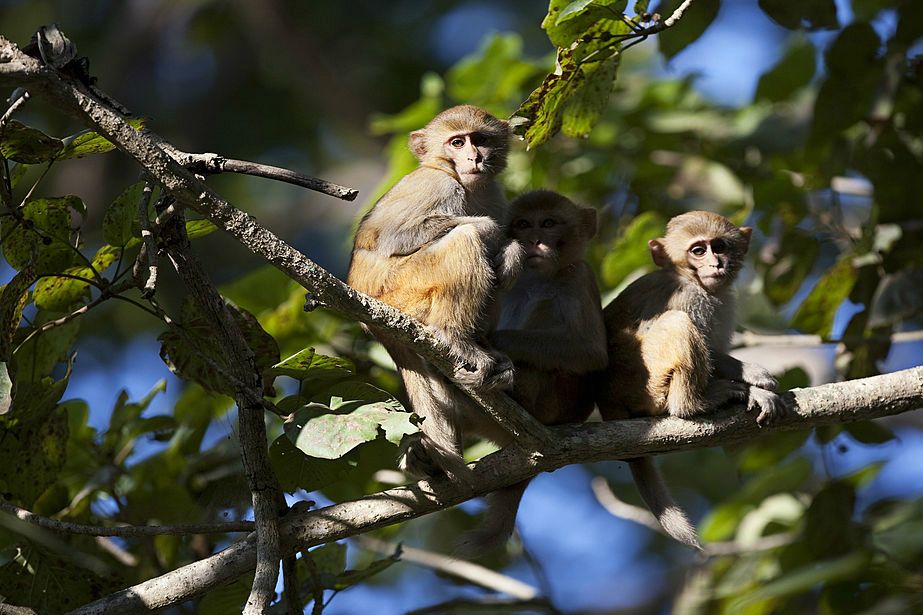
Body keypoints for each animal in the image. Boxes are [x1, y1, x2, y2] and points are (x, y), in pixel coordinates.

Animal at [347, 105, 524, 483]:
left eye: (480, 139)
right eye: (457, 142)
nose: (475, 157)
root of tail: (371, 324)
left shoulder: (496, 196)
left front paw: (512, 250)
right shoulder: (437, 185)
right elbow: (392, 236)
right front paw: (487, 228)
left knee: (501, 272)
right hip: (403, 292)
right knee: (465, 240)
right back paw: (455, 337)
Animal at [457, 190, 608, 556]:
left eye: (549, 223)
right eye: (523, 224)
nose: (534, 240)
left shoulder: (579, 276)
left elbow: (590, 351)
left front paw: (493, 344)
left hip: (554, 404)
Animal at [596, 210, 786, 549]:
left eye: (719, 246)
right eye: (698, 251)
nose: (716, 264)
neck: (691, 279)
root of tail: (606, 398)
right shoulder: (688, 297)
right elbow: (708, 349)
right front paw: (754, 380)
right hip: (640, 378)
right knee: (677, 324)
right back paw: (694, 404)